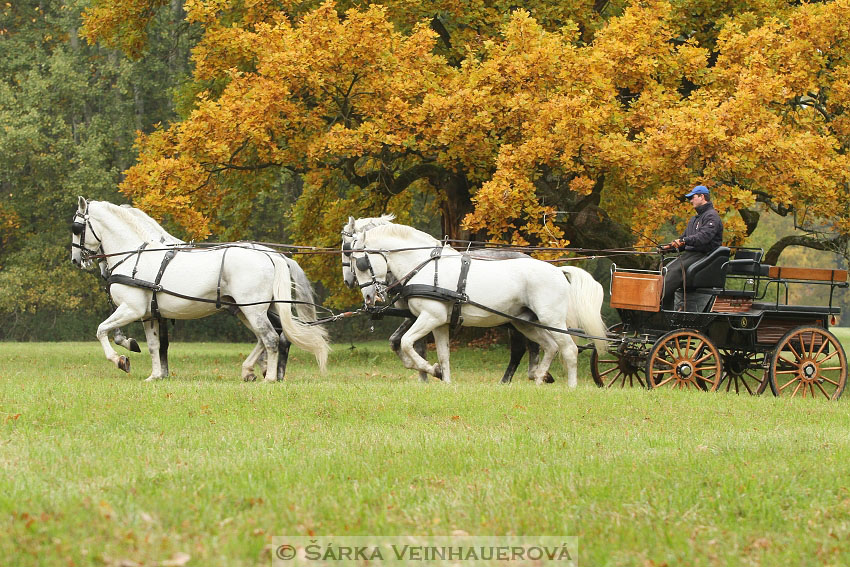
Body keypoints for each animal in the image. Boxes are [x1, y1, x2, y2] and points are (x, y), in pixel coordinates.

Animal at [72, 197, 328, 384]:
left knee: (271, 339)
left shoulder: (131, 309)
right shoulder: (148, 315)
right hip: (250, 310)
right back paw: (251, 370)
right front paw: (155, 375)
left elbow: (101, 330)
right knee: (268, 337)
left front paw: (119, 359)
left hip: (253, 310)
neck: (135, 255)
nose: (76, 260)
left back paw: (271, 378)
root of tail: (271, 255)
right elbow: (155, 345)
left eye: (76, 227)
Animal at [348, 223, 608, 386]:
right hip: (525, 323)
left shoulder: (430, 317)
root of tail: (558, 270)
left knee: (568, 350)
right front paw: (444, 379)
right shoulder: (439, 323)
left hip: (551, 319)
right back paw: (539, 378)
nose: (369, 298)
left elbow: (406, 343)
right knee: (550, 347)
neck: (424, 266)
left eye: (361, 263)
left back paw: (570, 387)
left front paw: (432, 370)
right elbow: (443, 354)